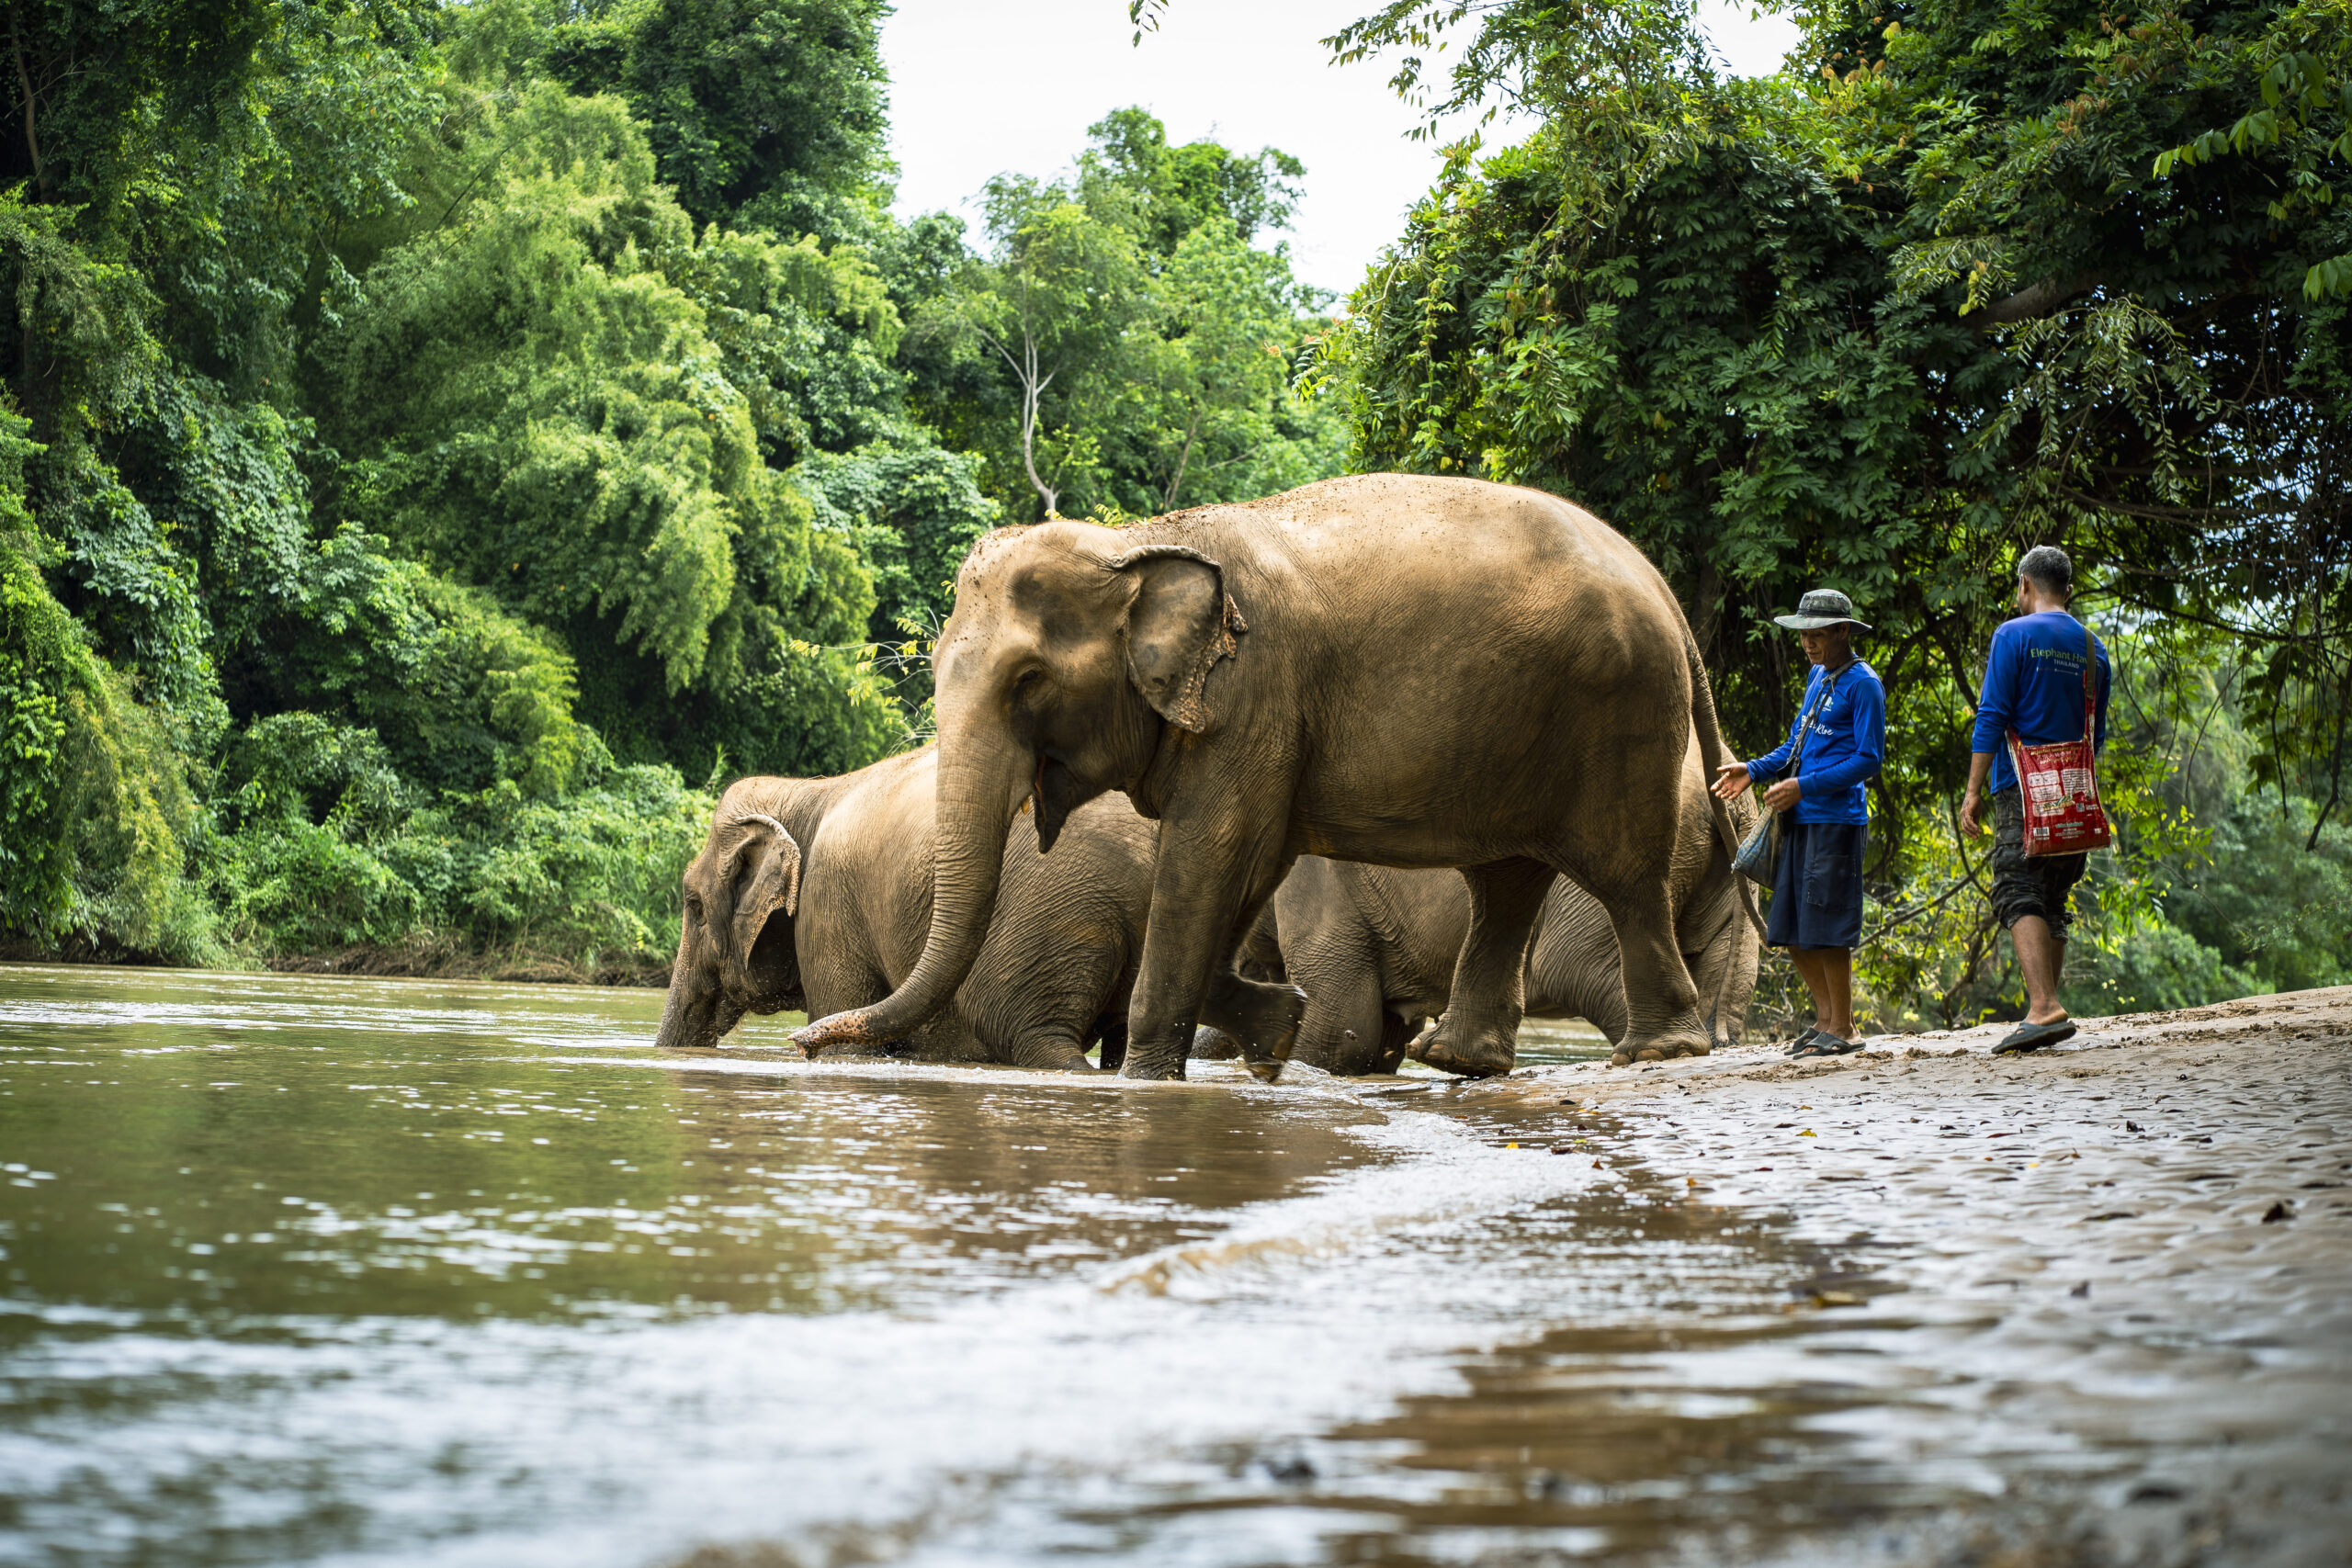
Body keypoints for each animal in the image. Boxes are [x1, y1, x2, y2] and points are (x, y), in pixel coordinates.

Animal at [654, 746, 1156, 1071]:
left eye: (693, 905)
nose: (797, 1047)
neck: (807, 794)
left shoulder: (828, 903)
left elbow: (849, 1044)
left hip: (1049, 917)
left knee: (1034, 1037)